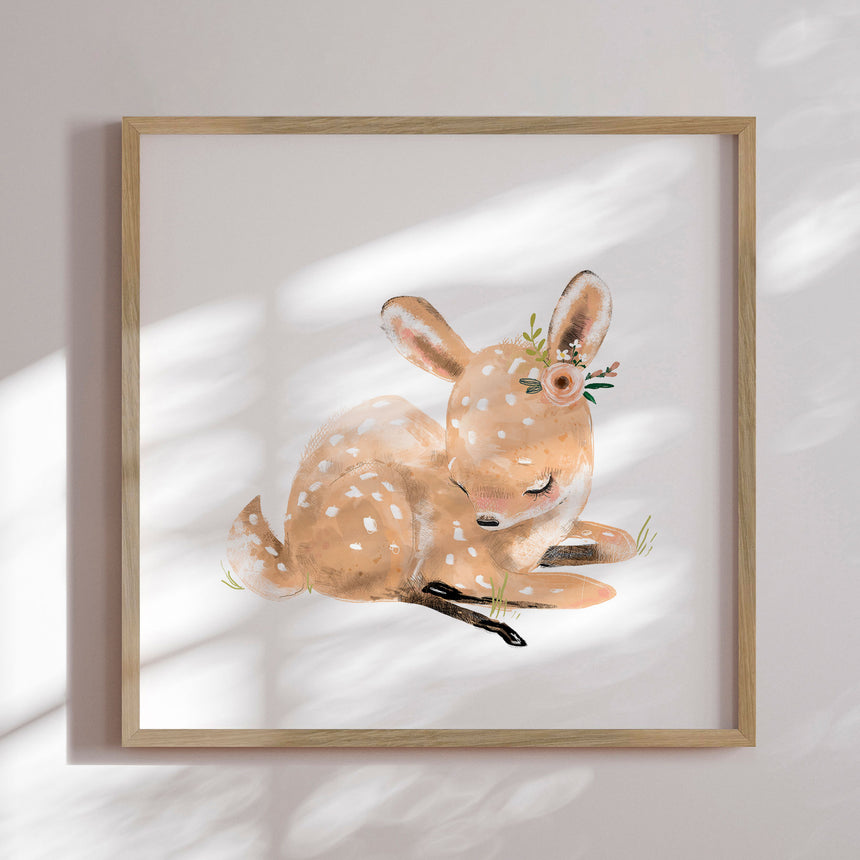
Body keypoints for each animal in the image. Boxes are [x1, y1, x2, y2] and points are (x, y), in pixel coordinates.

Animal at [226, 270, 637, 646]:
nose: (486, 519)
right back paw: (490, 620)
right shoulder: (463, 558)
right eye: (459, 483)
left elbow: (623, 541)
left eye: (541, 486)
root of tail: (292, 563)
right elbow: (591, 590)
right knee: (398, 590)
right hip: (380, 505)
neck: (529, 538)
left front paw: (567, 554)